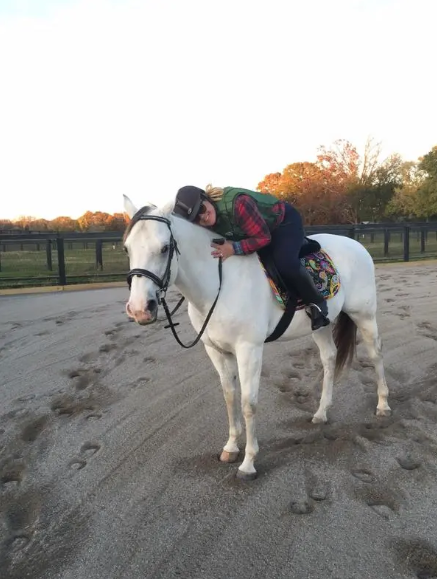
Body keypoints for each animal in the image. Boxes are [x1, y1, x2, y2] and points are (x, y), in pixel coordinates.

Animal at [122, 195, 388, 480]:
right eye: (127, 249)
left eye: (163, 248)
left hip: (364, 315)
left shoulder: (248, 350)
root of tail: (356, 245)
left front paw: (248, 462)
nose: (140, 308)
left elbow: (248, 403)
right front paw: (230, 447)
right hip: (321, 325)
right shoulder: (216, 350)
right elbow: (230, 396)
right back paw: (321, 412)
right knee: (329, 358)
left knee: (376, 355)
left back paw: (383, 405)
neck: (219, 284)